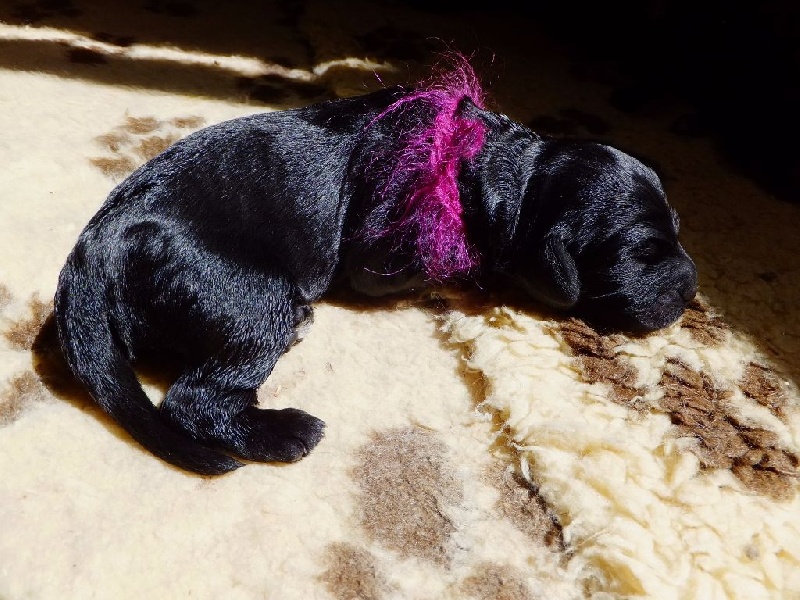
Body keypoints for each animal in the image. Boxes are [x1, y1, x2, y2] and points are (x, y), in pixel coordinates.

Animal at [54, 60, 697, 475]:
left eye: (678, 228)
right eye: (640, 255)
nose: (692, 290)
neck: (499, 169)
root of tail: (95, 248)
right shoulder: (381, 253)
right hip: (248, 302)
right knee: (196, 399)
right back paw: (287, 431)